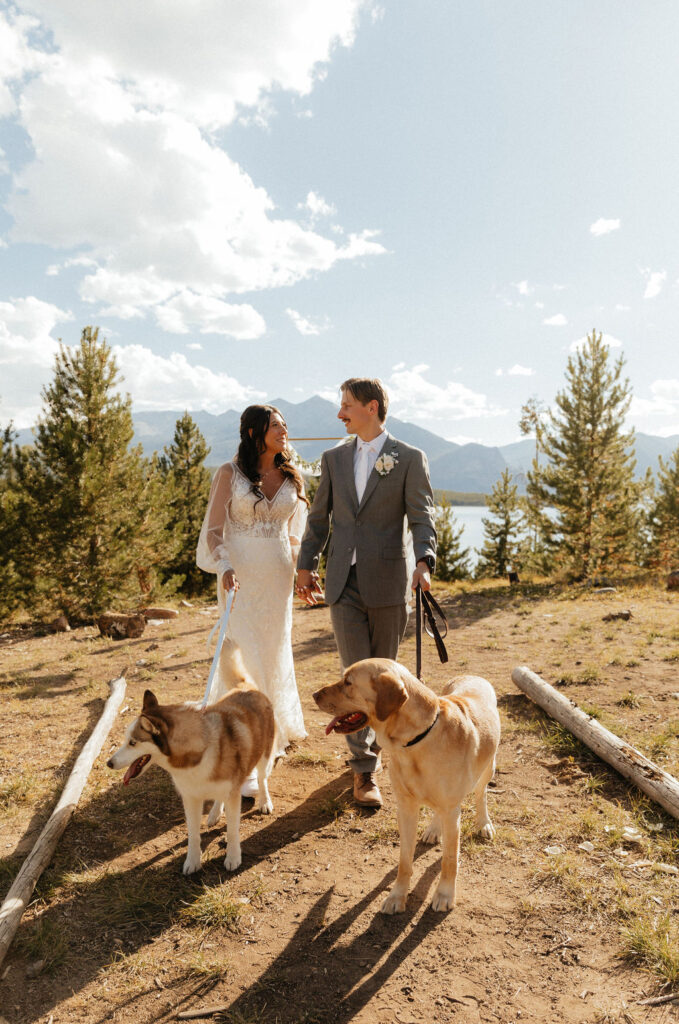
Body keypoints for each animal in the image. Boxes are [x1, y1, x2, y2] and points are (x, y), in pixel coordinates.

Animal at [107, 638, 274, 872]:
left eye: (133, 743)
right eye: (125, 740)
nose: (109, 763)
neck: (194, 757)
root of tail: (244, 686)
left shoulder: (232, 794)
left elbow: (232, 831)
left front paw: (233, 857)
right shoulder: (190, 798)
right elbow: (193, 834)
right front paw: (193, 861)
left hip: (264, 755)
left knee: (261, 778)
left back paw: (264, 802)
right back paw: (214, 813)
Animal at [313, 659, 499, 917]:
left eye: (348, 683)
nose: (313, 695)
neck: (414, 741)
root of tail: (472, 675)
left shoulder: (452, 810)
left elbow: (449, 859)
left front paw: (444, 895)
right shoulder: (406, 808)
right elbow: (404, 861)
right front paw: (397, 896)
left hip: (487, 769)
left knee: (481, 796)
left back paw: (483, 823)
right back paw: (434, 830)